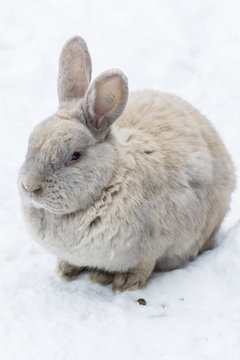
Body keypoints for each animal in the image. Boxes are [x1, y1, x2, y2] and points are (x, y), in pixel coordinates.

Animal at [17, 35, 235, 292]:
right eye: (30, 142)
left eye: (75, 155)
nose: (30, 187)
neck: (110, 180)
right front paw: (65, 270)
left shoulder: (153, 244)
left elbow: (143, 266)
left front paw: (125, 284)